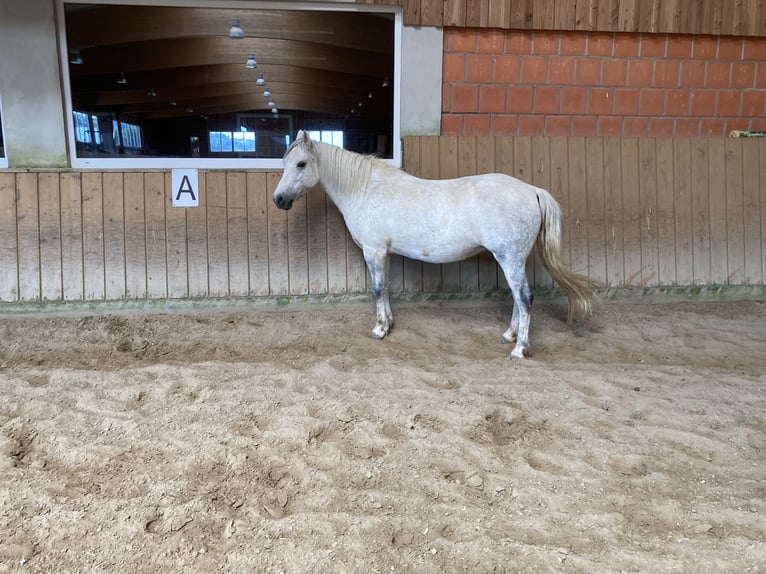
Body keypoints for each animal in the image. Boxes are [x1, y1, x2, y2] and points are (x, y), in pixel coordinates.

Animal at [273, 130, 595, 358]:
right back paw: (509, 336)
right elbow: (385, 287)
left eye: (301, 163)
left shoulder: (374, 251)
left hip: (510, 258)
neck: (365, 189)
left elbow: (377, 288)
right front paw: (388, 324)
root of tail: (532, 190)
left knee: (524, 298)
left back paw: (519, 349)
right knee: (519, 298)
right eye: (286, 162)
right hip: (513, 259)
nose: (279, 199)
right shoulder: (384, 253)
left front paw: (379, 329)